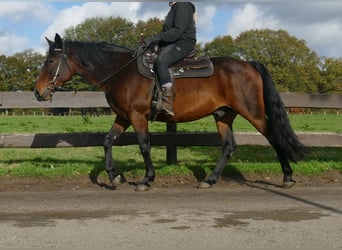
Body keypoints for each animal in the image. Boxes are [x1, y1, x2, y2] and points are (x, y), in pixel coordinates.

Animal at [34, 32, 304, 189]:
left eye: (50, 61)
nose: (38, 92)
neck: (122, 72)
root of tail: (248, 64)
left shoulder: (137, 116)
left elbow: (144, 145)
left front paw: (146, 179)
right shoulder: (123, 116)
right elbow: (107, 141)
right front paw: (114, 176)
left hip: (253, 113)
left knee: (273, 137)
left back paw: (288, 177)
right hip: (223, 115)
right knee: (228, 146)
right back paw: (210, 179)